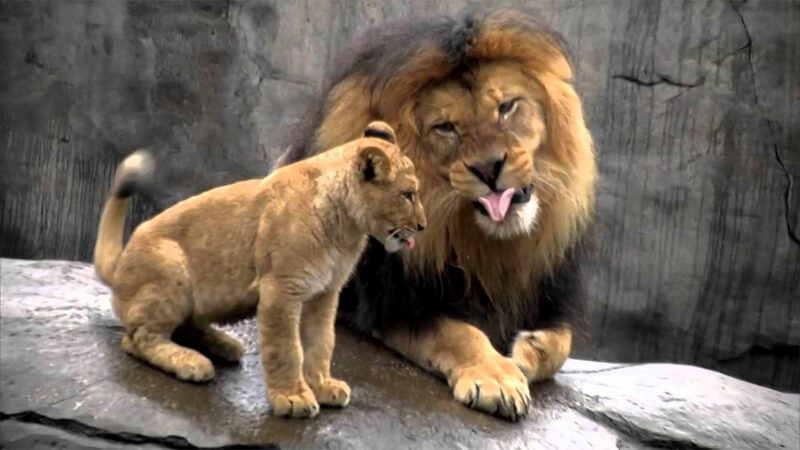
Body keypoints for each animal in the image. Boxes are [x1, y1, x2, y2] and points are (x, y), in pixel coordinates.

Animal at [92, 120, 424, 418]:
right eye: (408, 194)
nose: (422, 226)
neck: (345, 229)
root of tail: (119, 265)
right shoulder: (282, 289)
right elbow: (286, 348)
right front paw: (292, 398)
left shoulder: (325, 293)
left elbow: (321, 342)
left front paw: (321, 385)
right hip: (172, 268)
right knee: (136, 338)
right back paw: (190, 361)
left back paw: (223, 344)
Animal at [276, 7, 592, 422]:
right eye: (445, 128)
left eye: (507, 107)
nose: (489, 168)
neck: (490, 245)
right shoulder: (396, 303)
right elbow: (459, 333)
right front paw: (496, 379)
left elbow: (564, 341)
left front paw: (530, 349)